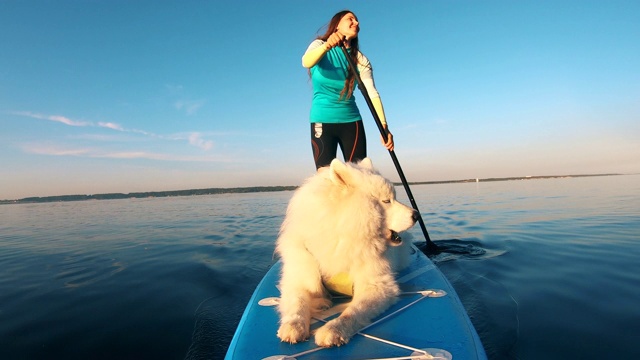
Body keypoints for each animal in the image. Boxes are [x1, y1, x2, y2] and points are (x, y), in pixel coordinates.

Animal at [276, 157, 420, 346]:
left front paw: (333, 330)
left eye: (393, 198)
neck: (342, 237)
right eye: (387, 201)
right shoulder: (300, 278)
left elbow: (352, 311)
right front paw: (293, 326)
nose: (416, 215)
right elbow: (297, 303)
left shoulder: (377, 285)